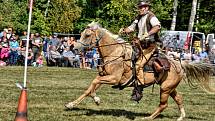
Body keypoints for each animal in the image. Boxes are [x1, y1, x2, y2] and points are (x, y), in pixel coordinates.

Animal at [64, 22, 214, 120]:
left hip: (165, 89)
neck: (114, 52)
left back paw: (148, 117)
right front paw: (73, 104)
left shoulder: (113, 78)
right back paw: (181, 117)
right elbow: (90, 88)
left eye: (87, 35)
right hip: (170, 88)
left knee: (163, 105)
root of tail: (180, 64)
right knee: (179, 98)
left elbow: (94, 83)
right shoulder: (104, 76)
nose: (75, 48)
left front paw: (95, 100)